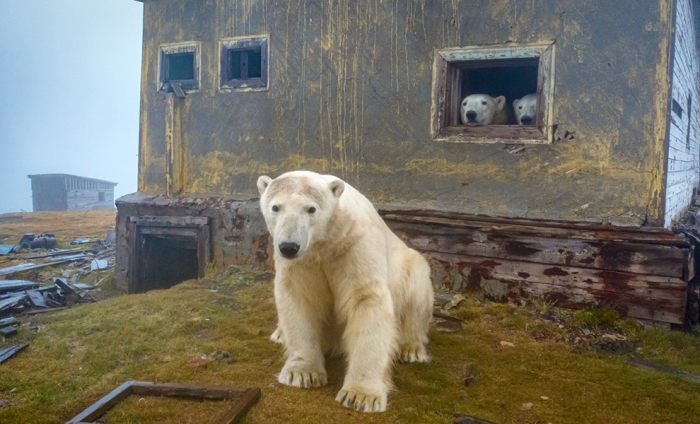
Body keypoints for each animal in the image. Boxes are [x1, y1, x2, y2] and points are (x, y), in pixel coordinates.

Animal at [258, 171, 432, 412]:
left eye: (311, 209)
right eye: (276, 207)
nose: (289, 246)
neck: (326, 242)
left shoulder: (355, 247)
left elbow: (366, 300)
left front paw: (361, 395)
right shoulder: (302, 262)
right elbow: (299, 298)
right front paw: (302, 374)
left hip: (410, 267)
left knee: (416, 293)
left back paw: (411, 348)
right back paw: (279, 334)